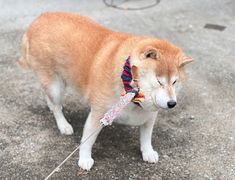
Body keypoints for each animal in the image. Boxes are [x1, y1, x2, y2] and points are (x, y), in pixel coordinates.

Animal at [17, 12, 193, 170]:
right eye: (159, 81)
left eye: (175, 82)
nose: (172, 103)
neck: (130, 92)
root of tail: (38, 19)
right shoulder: (99, 113)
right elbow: (87, 141)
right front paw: (84, 159)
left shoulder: (149, 115)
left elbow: (146, 136)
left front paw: (147, 151)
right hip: (56, 86)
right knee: (56, 106)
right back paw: (63, 125)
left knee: (51, 100)